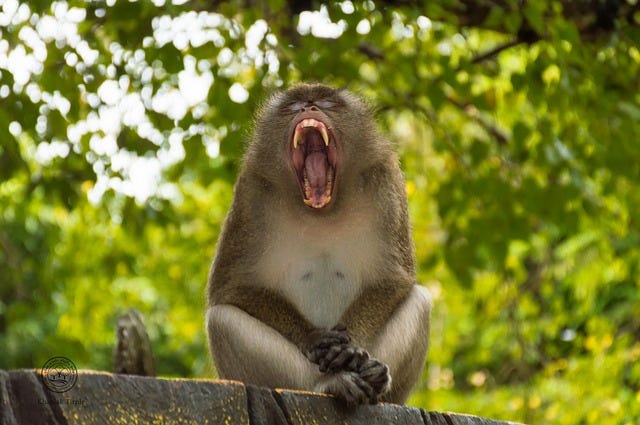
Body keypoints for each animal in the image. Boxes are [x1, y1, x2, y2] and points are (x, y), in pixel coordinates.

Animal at [208, 83, 432, 404]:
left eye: (326, 102)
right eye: (293, 106)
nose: (309, 107)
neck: (322, 211)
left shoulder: (385, 179)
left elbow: (393, 279)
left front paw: (350, 348)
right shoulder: (251, 191)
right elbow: (229, 287)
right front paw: (314, 339)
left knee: (421, 301)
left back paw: (376, 378)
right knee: (220, 321)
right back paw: (328, 384)